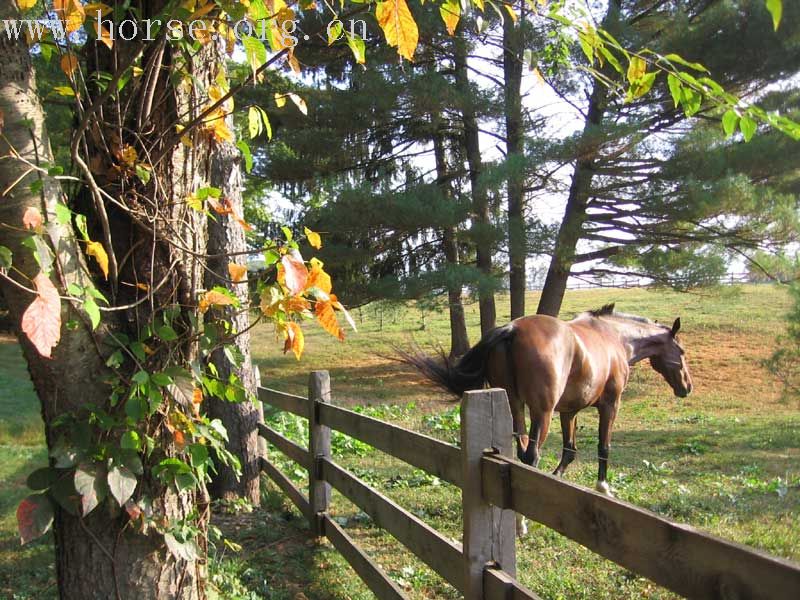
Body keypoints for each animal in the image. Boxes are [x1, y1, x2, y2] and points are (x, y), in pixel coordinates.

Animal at [400, 304, 692, 496]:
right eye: (681, 351)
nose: (687, 387)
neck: (614, 338)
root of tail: (511, 328)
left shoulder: (569, 411)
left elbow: (569, 450)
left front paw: (558, 479)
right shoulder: (610, 405)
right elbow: (603, 447)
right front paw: (603, 487)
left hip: (515, 406)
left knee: (519, 453)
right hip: (542, 412)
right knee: (531, 456)